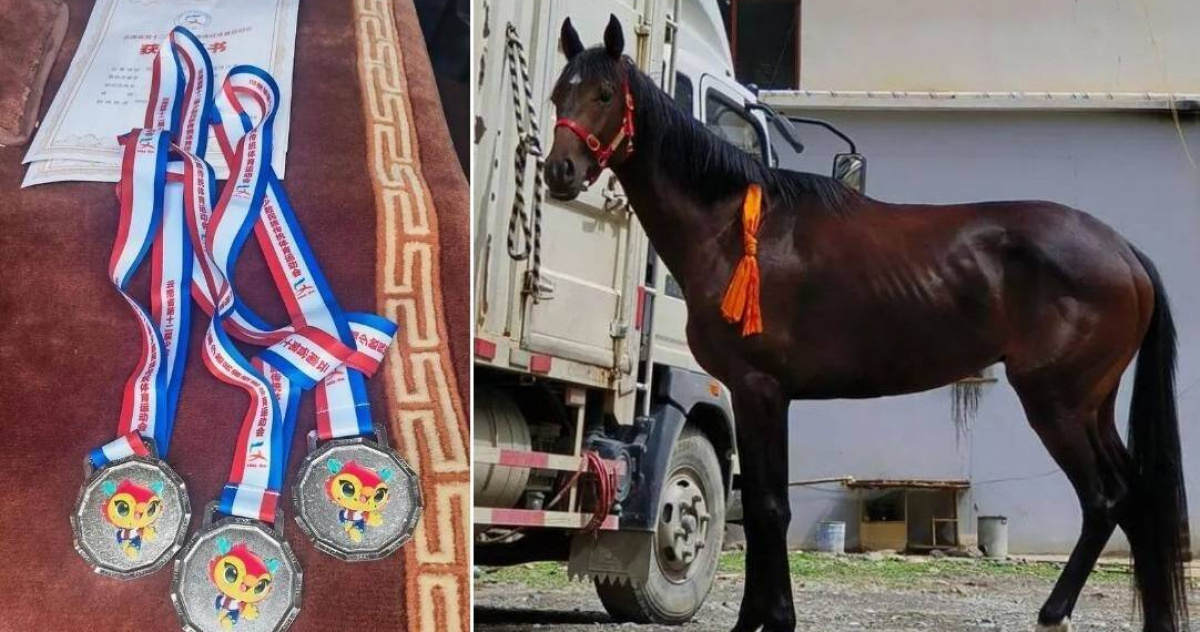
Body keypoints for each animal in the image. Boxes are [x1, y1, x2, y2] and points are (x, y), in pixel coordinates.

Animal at [544, 15, 1190, 632]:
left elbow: (769, 509)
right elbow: (763, 507)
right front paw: (760, 618)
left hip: (1058, 405)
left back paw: (1053, 613)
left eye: (604, 93)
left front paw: (770, 619)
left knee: (1104, 499)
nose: (560, 172)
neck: (732, 230)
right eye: (558, 94)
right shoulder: (760, 395)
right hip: (1092, 406)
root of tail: (1123, 251)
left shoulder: (760, 390)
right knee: (1136, 499)